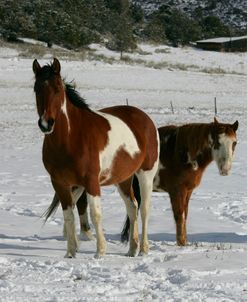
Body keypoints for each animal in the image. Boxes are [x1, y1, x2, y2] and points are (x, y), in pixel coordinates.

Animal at [32, 57, 159, 258]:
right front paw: (70, 253)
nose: (46, 124)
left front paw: (100, 252)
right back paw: (132, 248)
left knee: (145, 209)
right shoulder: (60, 183)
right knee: (132, 207)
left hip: (145, 174)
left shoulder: (91, 182)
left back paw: (143, 249)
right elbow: (68, 215)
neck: (71, 138)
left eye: (58, 88)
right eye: (36, 89)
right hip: (123, 179)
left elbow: (95, 214)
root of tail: (145, 119)